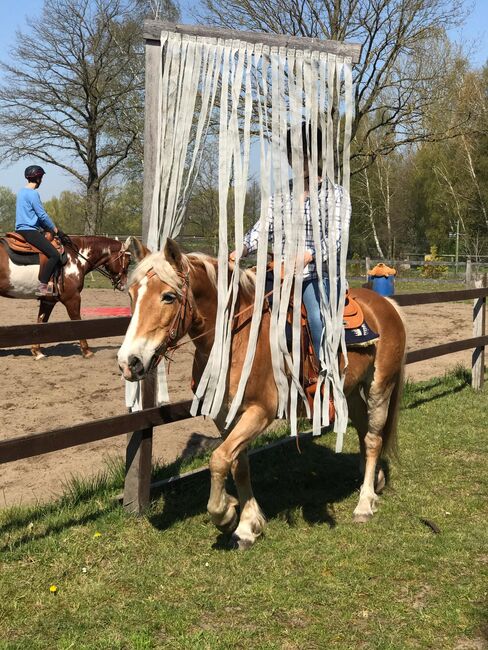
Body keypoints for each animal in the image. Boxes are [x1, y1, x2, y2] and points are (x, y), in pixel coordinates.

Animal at [0, 234, 133, 356]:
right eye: (128, 261)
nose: (124, 285)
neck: (76, 258)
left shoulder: (48, 301)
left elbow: (41, 321)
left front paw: (37, 351)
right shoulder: (72, 298)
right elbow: (77, 321)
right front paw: (86, 351)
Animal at [117, 238, 404, 548]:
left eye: (168, 296)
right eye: (132, 294)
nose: (129, 362)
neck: (238, 338)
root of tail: (386, 304)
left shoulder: (260, 411)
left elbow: (219, 459)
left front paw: (225, 514)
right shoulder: (224, 415)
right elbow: (237, 464)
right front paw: (247, 524)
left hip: (379, 387)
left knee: (374, 439)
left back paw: (364, 504)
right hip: (349, 391)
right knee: (365, 431)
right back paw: (373, 481)